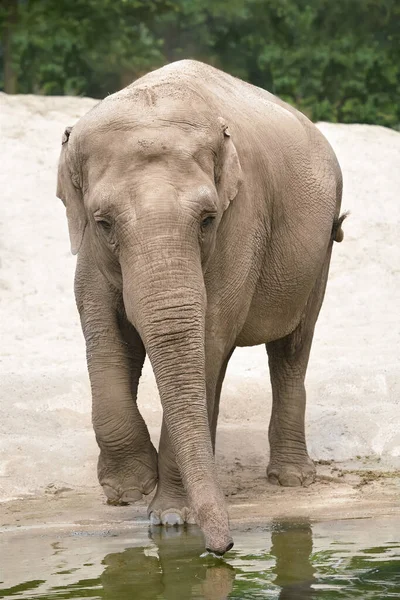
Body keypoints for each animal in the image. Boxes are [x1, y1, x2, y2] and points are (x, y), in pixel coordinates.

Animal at [55, 59, 344, 552]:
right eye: (103, 222)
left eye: (208, 219)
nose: (223, 547)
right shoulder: (90, 247)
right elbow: (102, 325)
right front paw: (128, 487)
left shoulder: (242, 219)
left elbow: (208, 331)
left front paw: (171, 517)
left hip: (321, 247)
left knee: (290, 347)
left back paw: (291, 480)